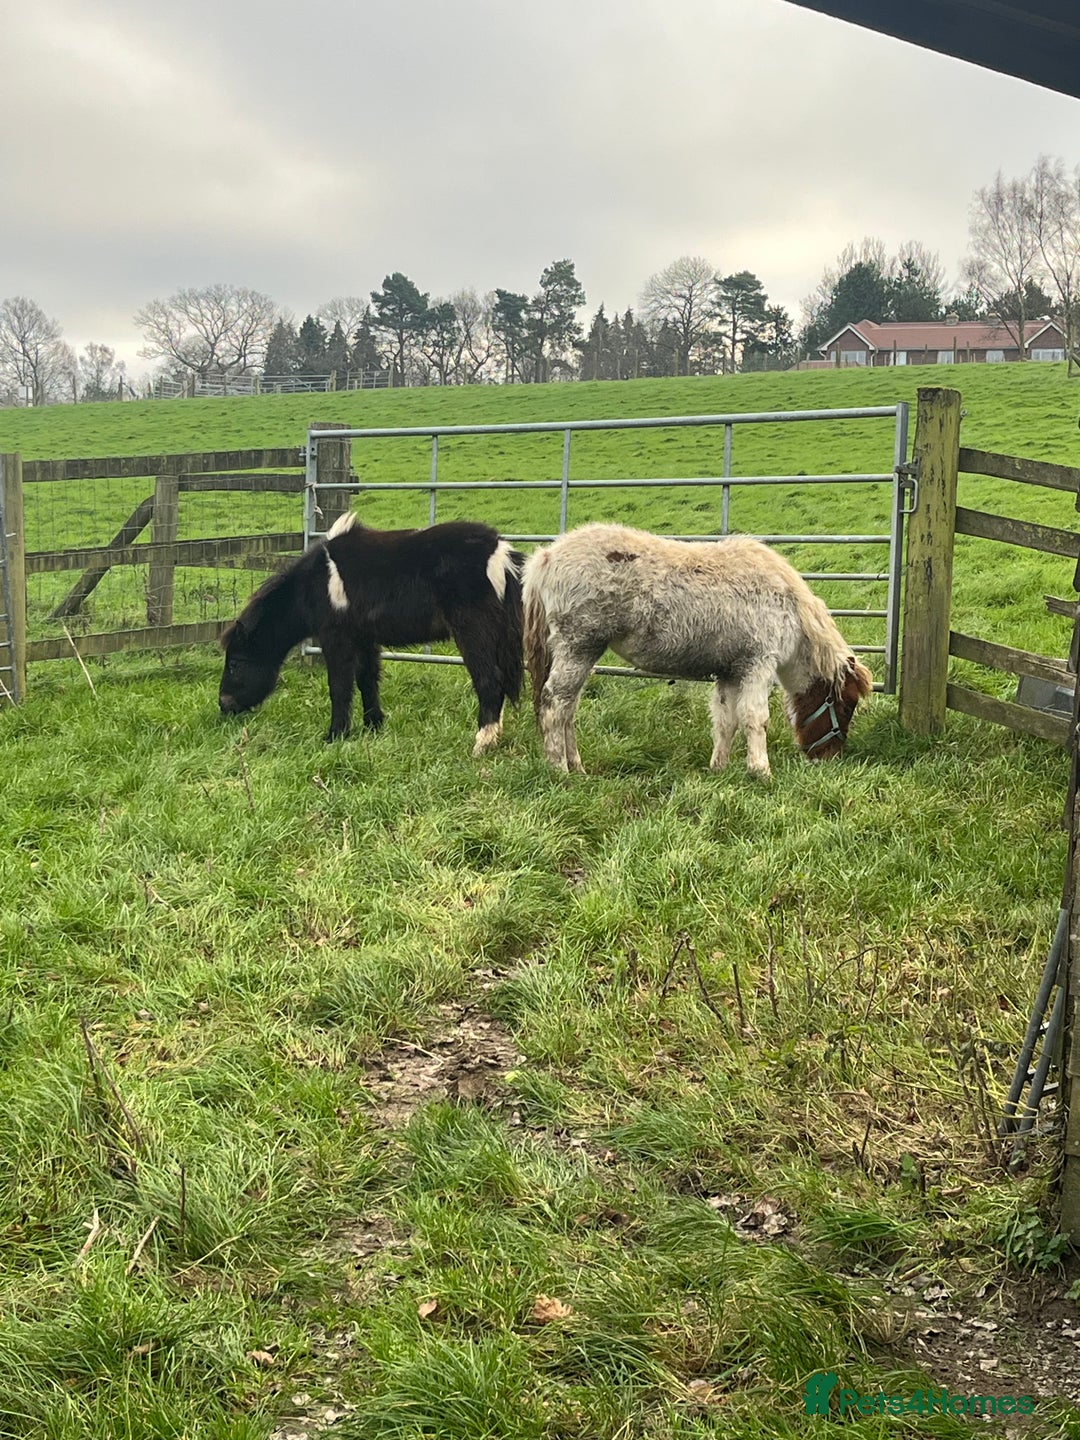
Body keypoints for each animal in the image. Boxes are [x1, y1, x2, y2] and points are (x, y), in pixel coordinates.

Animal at [219, 512, 525, 755]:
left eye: (235, 664)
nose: (224, 705)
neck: (315, 583)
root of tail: (500, 553)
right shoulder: (365, 639)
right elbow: (367, 680)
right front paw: (373, 726)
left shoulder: (336, 638)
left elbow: (340, 687)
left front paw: (335, 735)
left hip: (473, 631)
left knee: (489, 680)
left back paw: (482, 743)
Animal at [522, 522, 873, 776]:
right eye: (845, 706)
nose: (828, 757)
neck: (788, 604)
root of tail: (547, 557)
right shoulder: (758, 664)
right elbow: (755, 717)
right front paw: (761, 771)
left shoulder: (731, 671)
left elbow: (726, 720)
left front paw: (719, 768)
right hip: (578, 648)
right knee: (554, 704)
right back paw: (559, 770)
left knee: (568, 708)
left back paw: (577, 767)